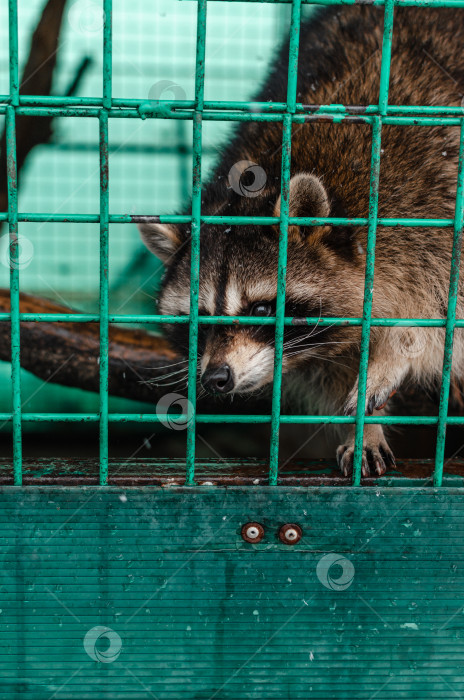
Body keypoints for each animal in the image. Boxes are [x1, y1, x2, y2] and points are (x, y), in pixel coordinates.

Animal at [138, 5, 464, 476]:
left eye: (260, 309)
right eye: (196, 316)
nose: (216, 378)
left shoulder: (430, 210)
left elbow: (436, 318)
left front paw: (390, 361)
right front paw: (364, 428)